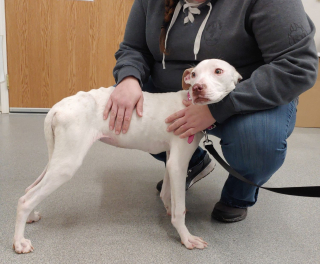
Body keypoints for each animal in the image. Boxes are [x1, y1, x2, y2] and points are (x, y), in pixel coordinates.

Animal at [13, 59, 242, 254]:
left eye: (218, 71)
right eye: (194, 74)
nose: (197, 88)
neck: (188, 104)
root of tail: (58, 107)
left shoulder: (171, 159)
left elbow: (167, 192)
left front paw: (168, 208)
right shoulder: (179, 163)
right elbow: (180, 211)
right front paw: (186, 238)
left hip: (58, 159)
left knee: (29, 190)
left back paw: (30, 218)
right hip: (67, 164)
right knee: (25, 199)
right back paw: (19, 242)